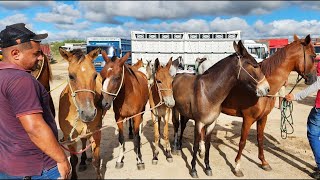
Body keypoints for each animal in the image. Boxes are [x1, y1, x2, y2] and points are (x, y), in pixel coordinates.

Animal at [57, 47, 105, 179]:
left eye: (94, 75)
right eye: (71, 76)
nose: (88, 113)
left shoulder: (96, 133)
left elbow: (96, 160)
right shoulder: (70, 138)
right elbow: (73, 160)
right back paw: (83, 161)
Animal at [172, 40, 270, 177]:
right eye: (255, 66)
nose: (267, 89)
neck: (208, 91)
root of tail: (177, 75)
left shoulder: (211, 123)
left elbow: (208, 145)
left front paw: (207, 167)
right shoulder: (199, 122)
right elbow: (196, 145)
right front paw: (194, 169)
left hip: (185, 113)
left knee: (182, 126)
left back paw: (180, 146)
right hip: (175, 110)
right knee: (176, 126)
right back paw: (175, 147)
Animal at [220, 34, 318, 176]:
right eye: (313, 56)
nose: (314, 79)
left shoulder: (263, 118)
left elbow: (260, 139)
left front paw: (264, 163)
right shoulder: (248, 119)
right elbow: (242, 142)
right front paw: (237, 166)